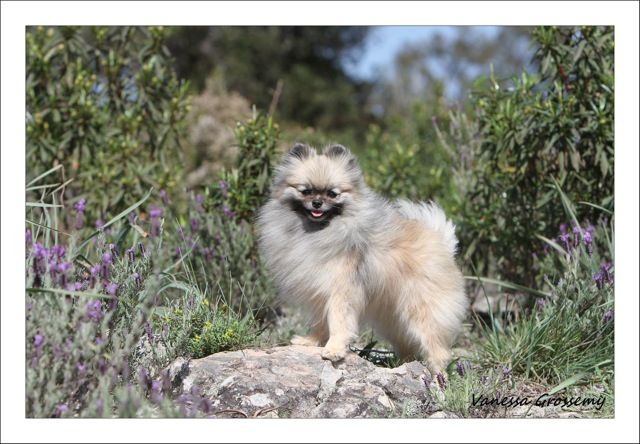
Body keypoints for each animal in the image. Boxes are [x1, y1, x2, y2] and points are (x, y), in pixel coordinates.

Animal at [256, 144, 470, 372]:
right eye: (306, 191)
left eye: (332, 193)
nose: (317, 202)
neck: (318, 231)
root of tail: (444, 244)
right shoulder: (319, 291)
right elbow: (321, 322)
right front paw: (311, 341)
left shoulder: (341, 290)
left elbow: (338, 321)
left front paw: (334, 349)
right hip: (394, 317)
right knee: (408, 345)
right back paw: (400, 366)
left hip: (422, 311)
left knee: (436, 348)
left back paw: (436, 376)